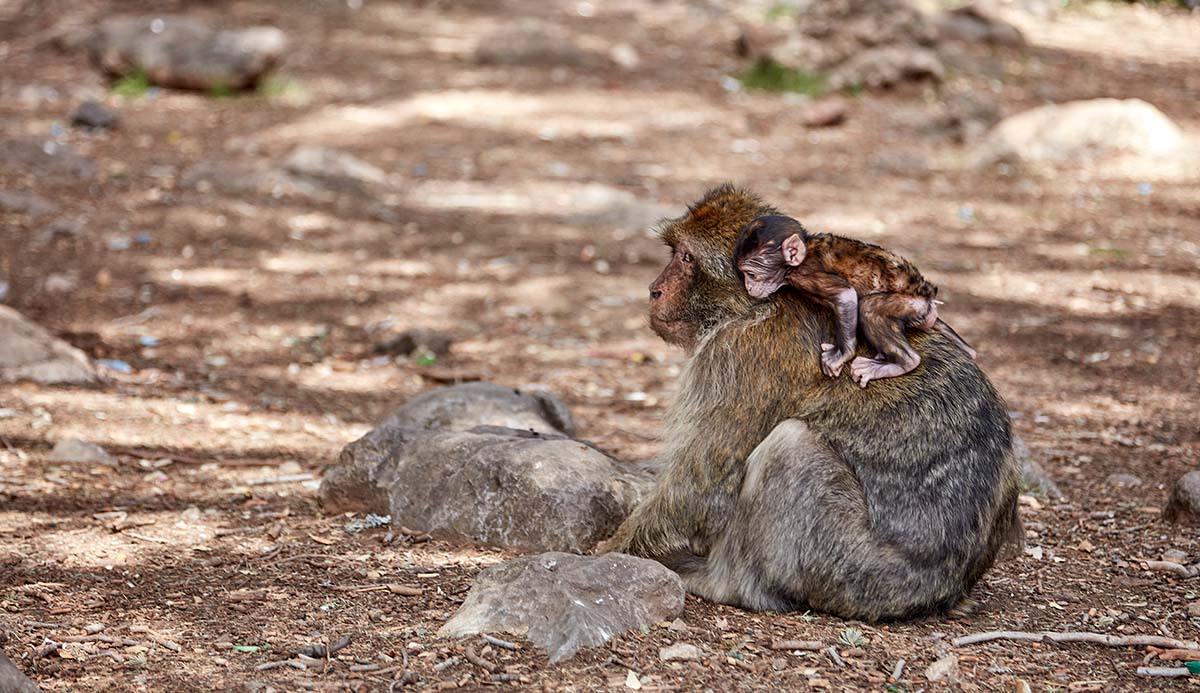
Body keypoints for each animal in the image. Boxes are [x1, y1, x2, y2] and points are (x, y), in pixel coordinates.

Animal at [733, 214, 976, 387]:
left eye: (752, 274)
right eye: (744, 274)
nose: (749, 286)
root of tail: (929, 301)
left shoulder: (805, 275)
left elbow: (846, 295)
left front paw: (841, 355)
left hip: (911, 305)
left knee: (870, 308)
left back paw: (903, 362)